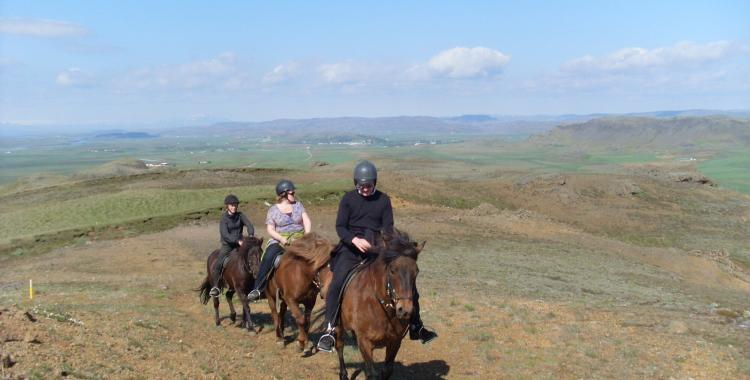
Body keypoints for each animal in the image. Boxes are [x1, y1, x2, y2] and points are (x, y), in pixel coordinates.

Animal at [336, 229, 426, 380]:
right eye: (393, 270)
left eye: (417, 272)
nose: (405, 310)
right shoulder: (365, 342)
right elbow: (371, 373)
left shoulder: (395, 342)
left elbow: (387, 370)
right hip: (339, 326)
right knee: (339, 346)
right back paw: (343, 374)